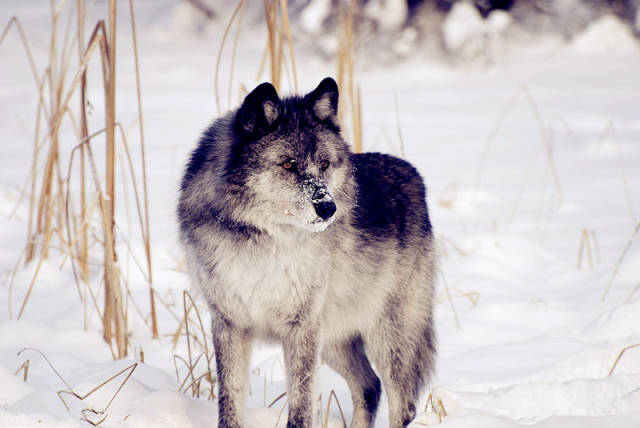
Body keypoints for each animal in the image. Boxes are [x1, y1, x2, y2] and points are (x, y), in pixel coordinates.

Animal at [176, 77, 436, 428]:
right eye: (289, 165)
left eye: (324, 164)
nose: (328, 208)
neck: (264, 242)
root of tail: (413, 174)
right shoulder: (229, 324)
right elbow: (229, 406)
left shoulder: (301, 330)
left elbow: (300, 409)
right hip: (334, 340)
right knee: (370, 386)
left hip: (387, 336)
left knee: (402, 404)